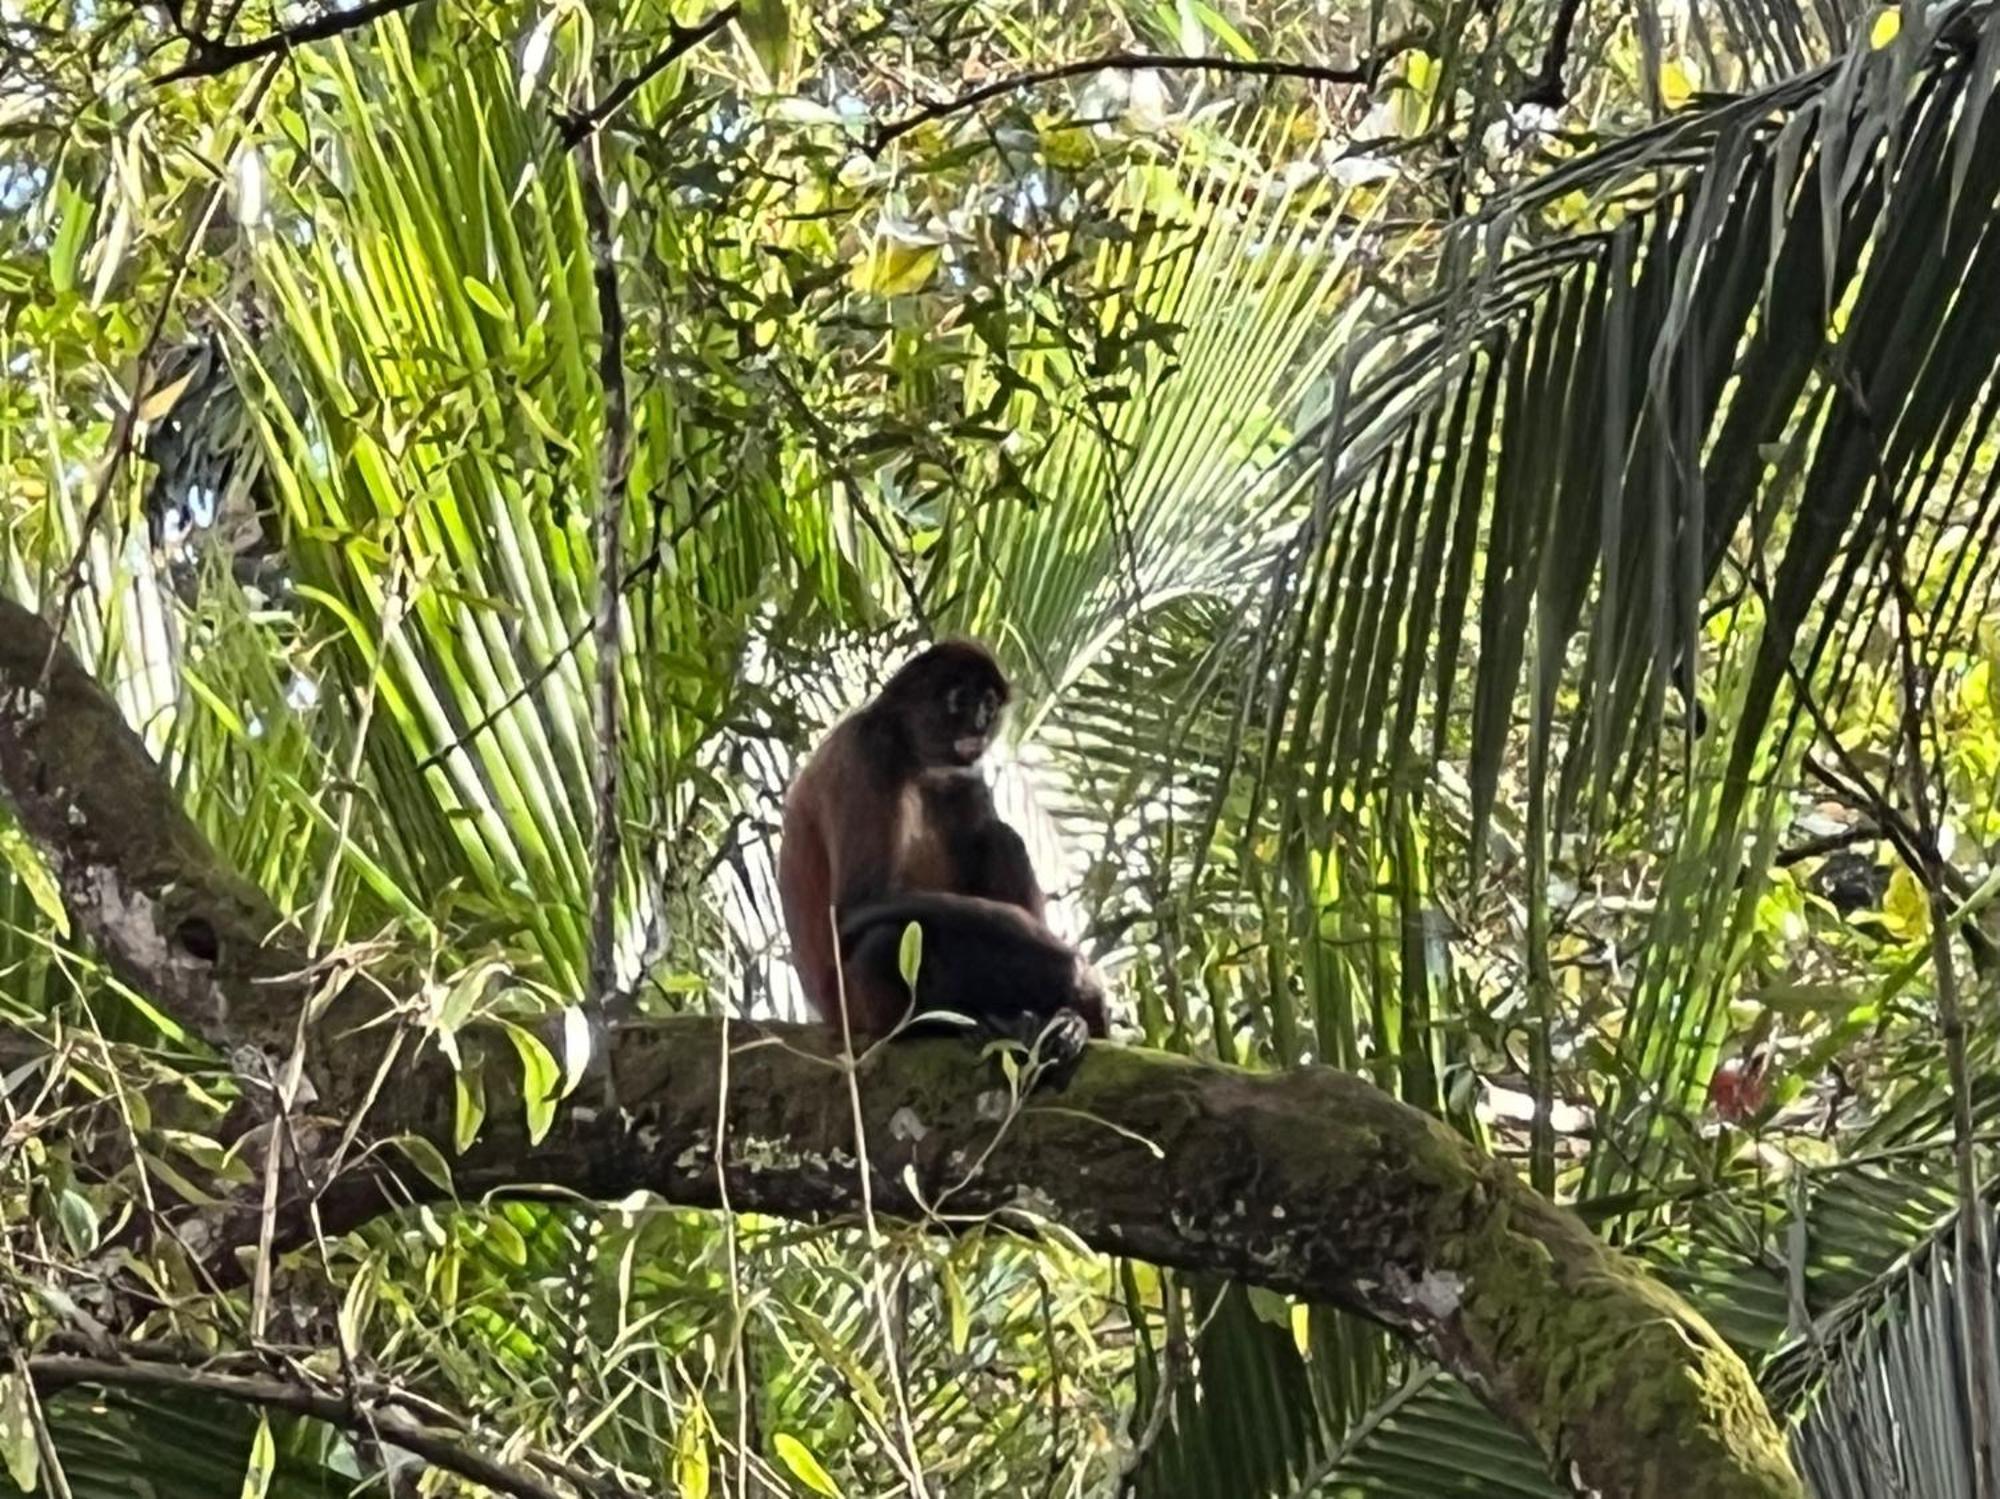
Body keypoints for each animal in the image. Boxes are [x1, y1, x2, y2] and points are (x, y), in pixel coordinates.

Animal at [776, 643, 1112, 1071]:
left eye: (989, 704)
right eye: (962, 698)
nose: (982, 723)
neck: (910, 753)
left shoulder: (965, 773)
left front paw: (1073, 1009)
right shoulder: (869, 747)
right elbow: (859, 905)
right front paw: (1076, 972)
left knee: (999, 838)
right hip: (856, 1007)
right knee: (884, 940)